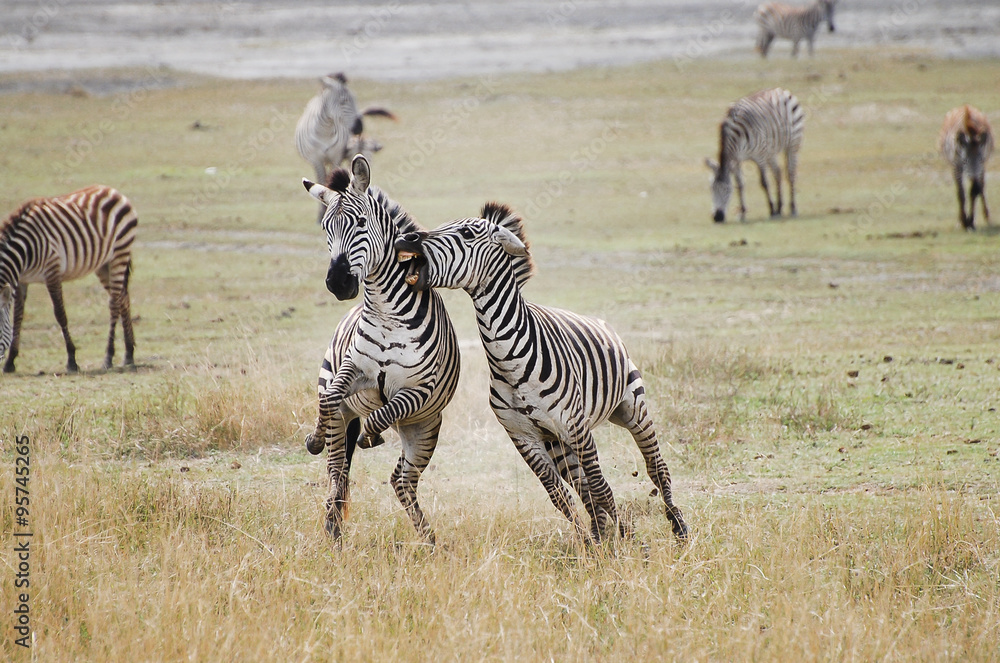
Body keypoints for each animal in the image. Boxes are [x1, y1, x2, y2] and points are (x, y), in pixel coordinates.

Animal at [0, 185, 136, 374]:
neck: (24, 251)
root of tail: (111, 189)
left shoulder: (52, 271)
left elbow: (60, 314)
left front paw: (72, 360)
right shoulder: (22, 280)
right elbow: (18, 316)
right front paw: (11, 361)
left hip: (120, 252)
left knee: (115, 303)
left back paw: (109, 357)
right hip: (104, 263)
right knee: (123, 298)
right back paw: (129, 354)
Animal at [295, 72, 396, 222]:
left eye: (355, 99)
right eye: (343, 101)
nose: (359, 126)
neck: (325, 131)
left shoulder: (336, 157)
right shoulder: (316, 159)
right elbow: (322, 180)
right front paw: (322, 213)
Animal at [302, 154, 461, 544]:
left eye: (360, 223)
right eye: (326, 227)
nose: (338, 283)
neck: (388, 312)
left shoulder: (418, 390)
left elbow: (381, 414)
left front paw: (373, 435)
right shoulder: (354, 370)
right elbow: (330, 398)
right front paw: (314, 436)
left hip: (424, 430)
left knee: (402, 480)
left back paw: (428, 538)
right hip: (342, 409)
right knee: (336, 467)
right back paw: (333, 527)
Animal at [395, 205, 688, 543]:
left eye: (466, 233)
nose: (406, 238)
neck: (510, 360)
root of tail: (603, 324)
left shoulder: (577, 427)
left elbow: (601, 487)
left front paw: (626, 540)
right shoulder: (524, 437)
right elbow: (560, 496)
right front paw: (592, 543)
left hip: (631, 408)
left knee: (656, 467)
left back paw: (679, 527)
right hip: (558, 442)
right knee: (582, 486)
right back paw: (601, 531)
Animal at [705, 87, 804, 223]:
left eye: (728, 190)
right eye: (711, 188)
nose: (717, 218)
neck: (737, 137)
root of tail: (781, 90)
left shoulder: (759, 157)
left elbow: (764, 182)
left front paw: (772, 210)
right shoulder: (737, 160)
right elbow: (740, 184)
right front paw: (742, 213)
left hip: (793, 145)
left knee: (791, 174)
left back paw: (793, 208)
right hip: (771, 151)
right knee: (778, 173)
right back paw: (780, 208)